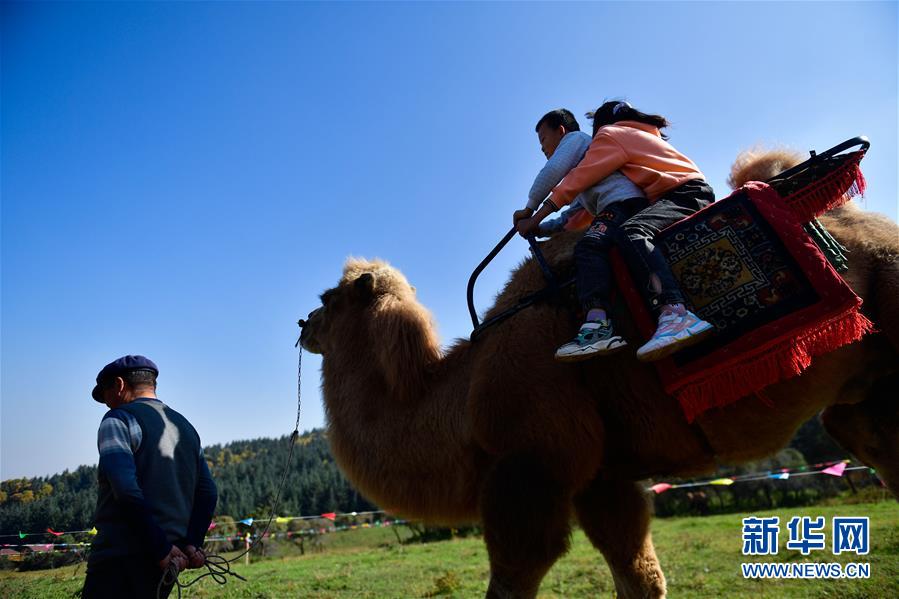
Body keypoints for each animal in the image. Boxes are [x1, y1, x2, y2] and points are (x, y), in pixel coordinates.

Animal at [298, 148, 896, 596]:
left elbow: (516, 575)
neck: (461, 393)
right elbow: (639, 577)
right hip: (859, 394)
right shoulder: (603, 478)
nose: (303, 324)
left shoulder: (533, 464)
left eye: (329, 298)